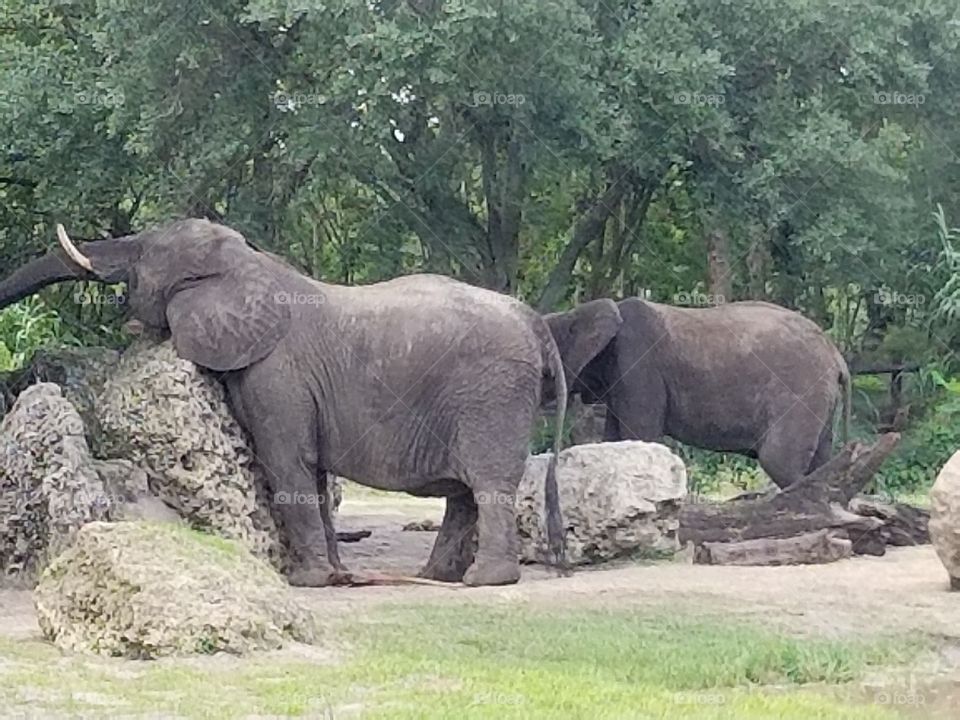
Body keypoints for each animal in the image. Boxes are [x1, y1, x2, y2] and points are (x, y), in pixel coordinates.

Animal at [0, 219, 568, 584]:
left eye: (142, 255)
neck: (250, 263)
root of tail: (535, 323)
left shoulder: (277, 372)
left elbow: (285, 461)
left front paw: (307, 582)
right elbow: (310, 471)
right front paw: (336, 576)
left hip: (491, 394)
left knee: (487, 484)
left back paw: (484, 582)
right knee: (465, 495)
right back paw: (437, 576)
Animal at [544, 298, 852, 490]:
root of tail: (837, 356)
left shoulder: (638, 367)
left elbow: (640, 435)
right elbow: (616, 440)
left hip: (800, 390)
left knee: (778, 460)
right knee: (819, 461)